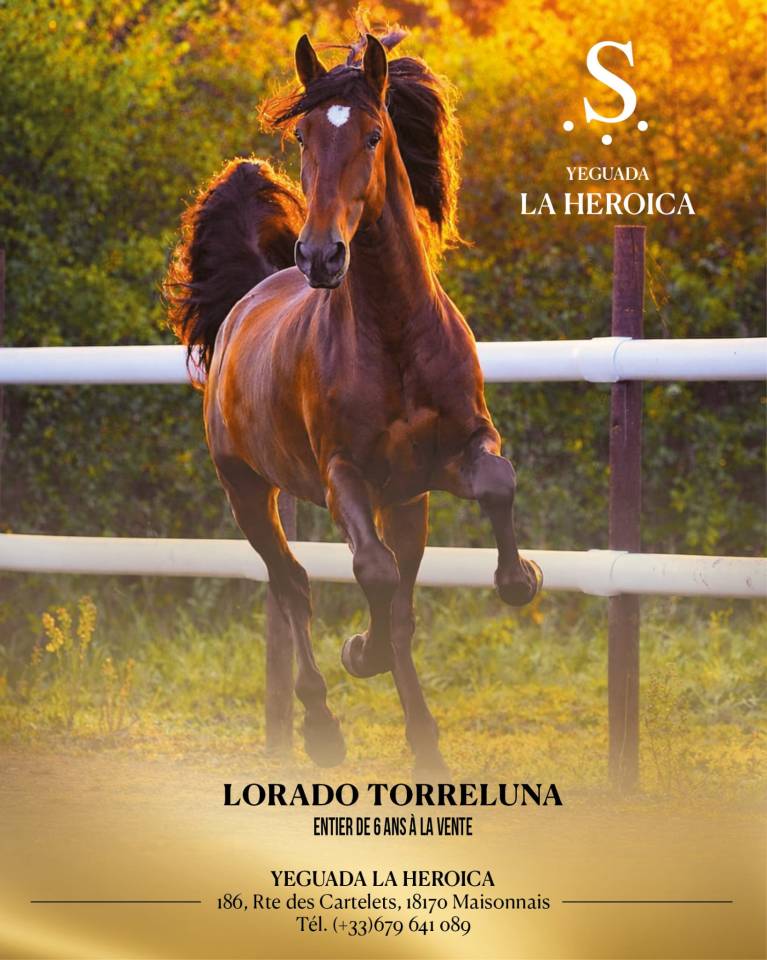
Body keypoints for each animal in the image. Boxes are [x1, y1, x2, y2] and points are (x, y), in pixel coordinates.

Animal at [165, 30, 542, 776]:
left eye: (372, 134)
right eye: (303, 135)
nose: (320, 256)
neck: (393, 337)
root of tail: (249, 296)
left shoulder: (451, 454)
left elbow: (495, 485)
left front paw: (520, 579)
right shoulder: (345, 476)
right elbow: (372, 571)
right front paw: (358, 654)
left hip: (406, 501)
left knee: (394, 597)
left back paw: (421, 742)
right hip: (247, 488)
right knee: (293, 584)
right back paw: (320, 729)